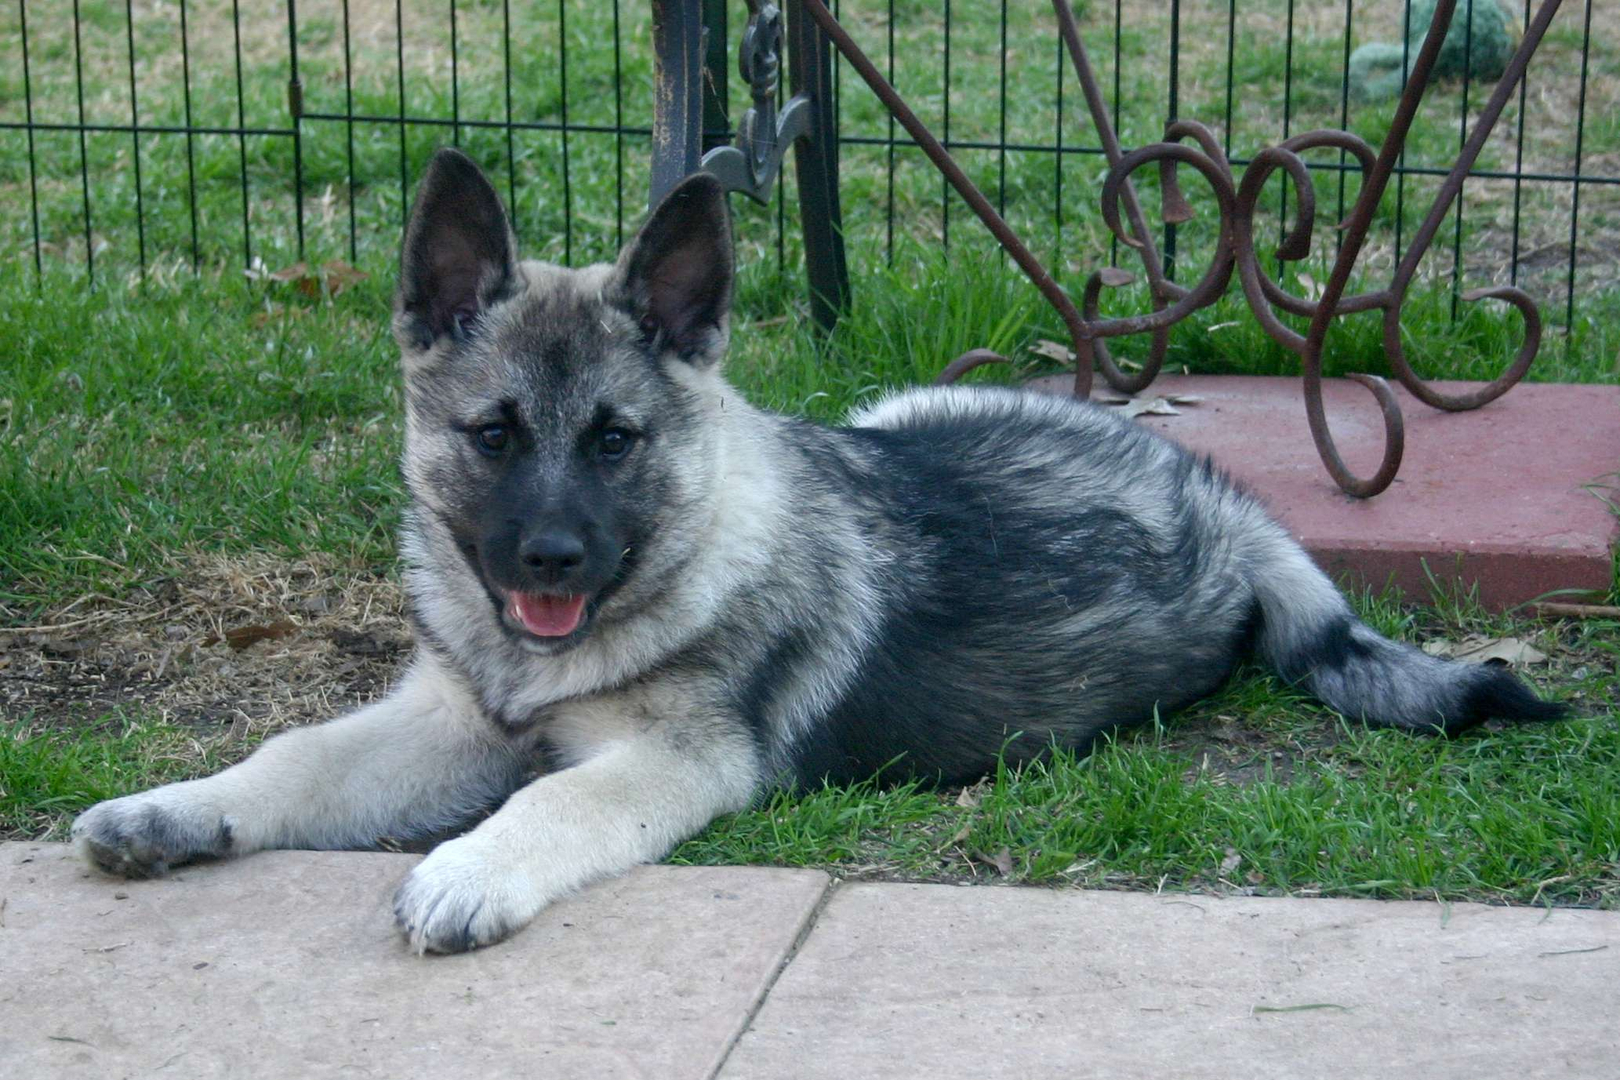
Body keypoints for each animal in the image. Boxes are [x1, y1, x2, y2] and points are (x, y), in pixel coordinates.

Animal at [76, 145, 1568, 952]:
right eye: (493, 435)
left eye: (614, 441)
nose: (549, 562)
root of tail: (1224, 497)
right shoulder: (449, 717)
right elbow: (296, 757)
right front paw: (173, 810)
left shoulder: (679, 762)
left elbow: (548, 805)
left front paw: (469, 869)